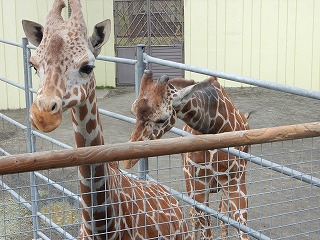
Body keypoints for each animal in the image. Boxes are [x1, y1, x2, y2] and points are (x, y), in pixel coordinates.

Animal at [124, 70, 251, 240]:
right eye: (133, 112)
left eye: (162, 119)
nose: (127, 161)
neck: (216, 127)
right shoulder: (199, 184)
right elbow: (205, 226)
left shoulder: (235, 181)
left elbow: (240, 226)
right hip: (190, 180)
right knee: (193, 215)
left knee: (222, 215)